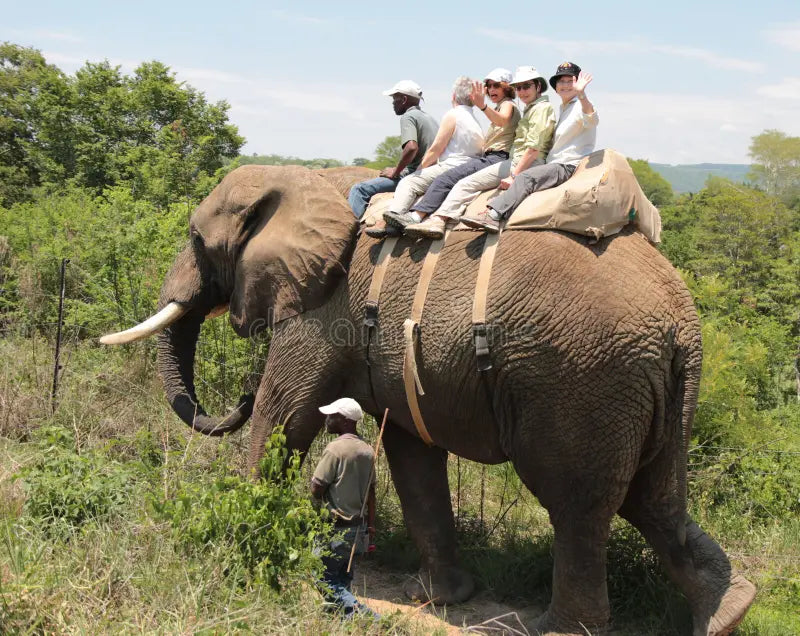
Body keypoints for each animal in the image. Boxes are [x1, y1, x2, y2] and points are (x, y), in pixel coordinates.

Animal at [102, 164, 755, 635]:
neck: (302, 176)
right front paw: (439, 598)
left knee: (578, 502)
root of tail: (678, 323)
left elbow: (285, 413)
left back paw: (559, 629)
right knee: (655, 498)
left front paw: (242, 541)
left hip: (584, 379)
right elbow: (410, 452)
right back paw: (730, 612)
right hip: (652, 386)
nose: (233, 396)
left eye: (196, 239)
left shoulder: (322, 312)